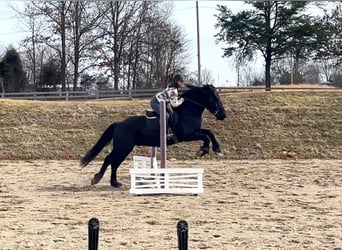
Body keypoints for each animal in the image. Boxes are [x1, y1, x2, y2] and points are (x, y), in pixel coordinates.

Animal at [80, 84, 227, 188]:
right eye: (216, 98)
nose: (223, 115)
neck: (189, 111)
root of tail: (119, 124)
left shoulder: (196, 131)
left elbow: (209, 133)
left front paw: (217, 150)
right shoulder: (188, 135)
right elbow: (205, 137)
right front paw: (203, 151)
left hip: (123, 148)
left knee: (113, 162)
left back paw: (114, 183)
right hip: (123, 148)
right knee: (110, 160)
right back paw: (98, 179)